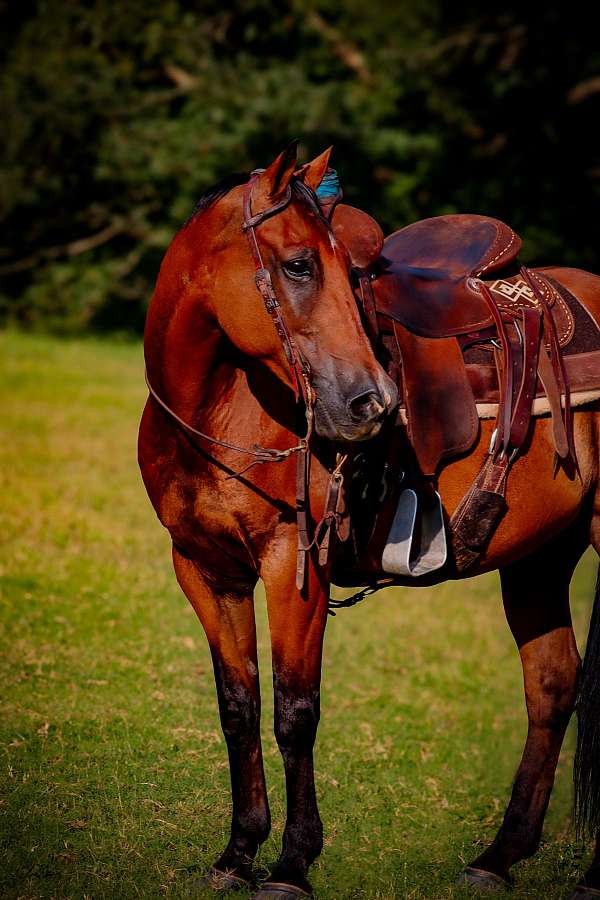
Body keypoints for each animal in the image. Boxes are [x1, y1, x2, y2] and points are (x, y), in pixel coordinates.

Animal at [138, 143, 600, 899]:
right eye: (298, 264)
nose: (373, 403)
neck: (219, 408)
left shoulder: (295, 567)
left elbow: (295, 713)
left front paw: (292, 865)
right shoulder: (204, 569)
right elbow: (238, 707)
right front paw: (238, 852)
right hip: (540, 558)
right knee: (553, 683)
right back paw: (497, 857)